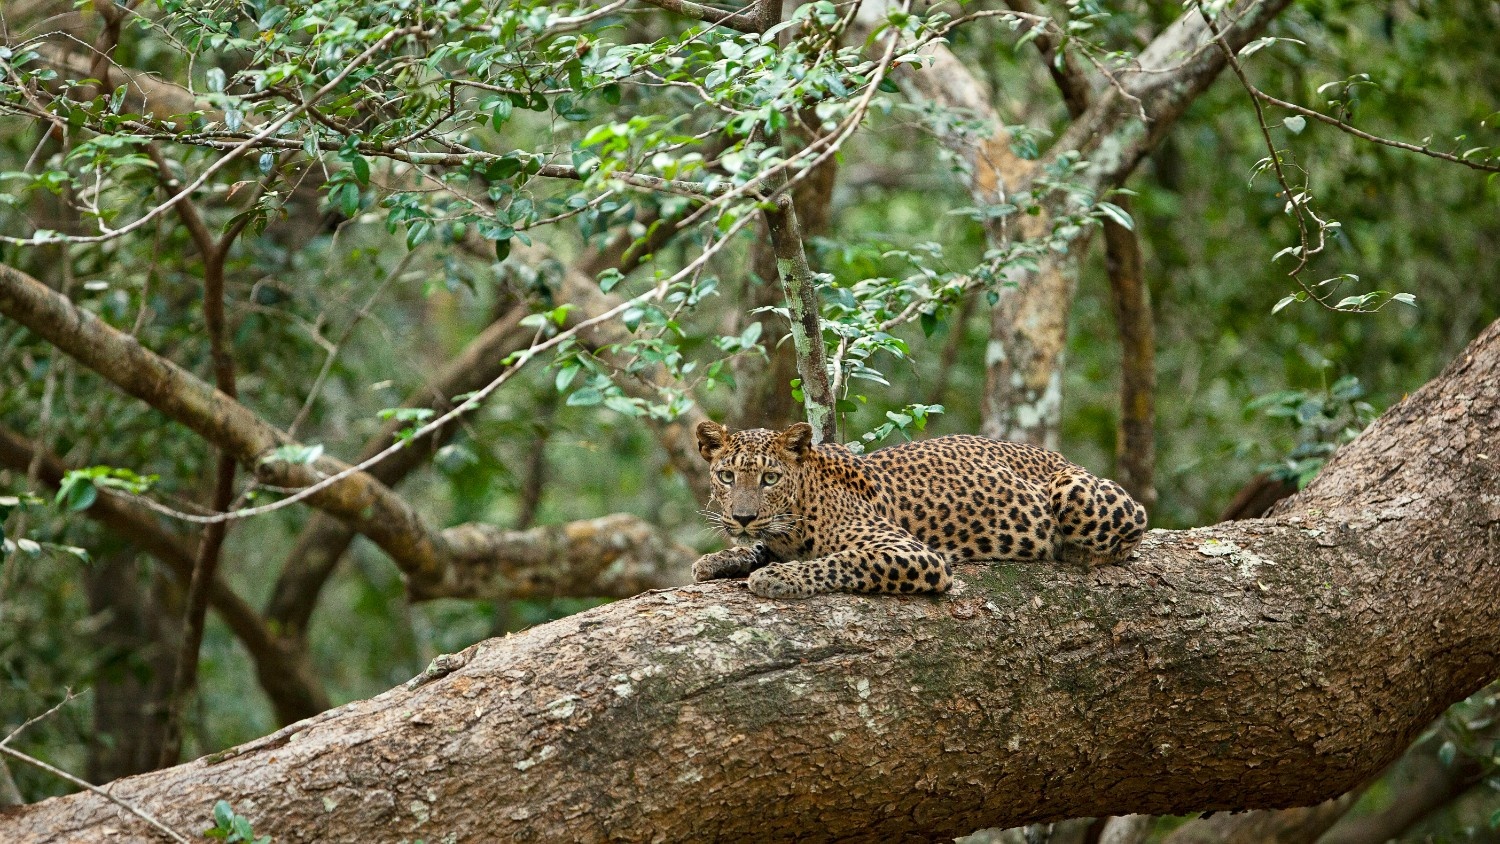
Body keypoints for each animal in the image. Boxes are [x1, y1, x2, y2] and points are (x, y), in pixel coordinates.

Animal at [692, 421, 1148, 599]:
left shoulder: (913, 553)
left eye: (770, 479)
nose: (743, 517)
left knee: (1135, 528)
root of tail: (1059, 456)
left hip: (1076, 493)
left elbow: (841, 561)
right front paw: (717, 560)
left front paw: (777, 577)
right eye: (727, 476)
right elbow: (755, 548)